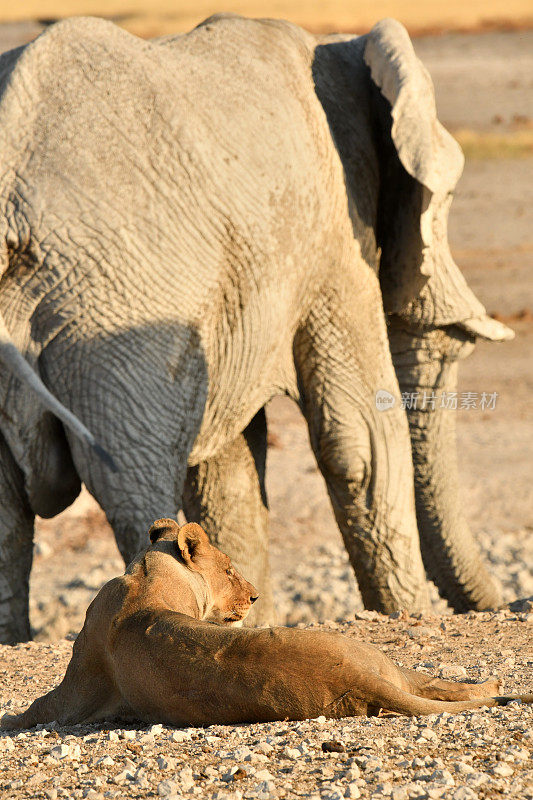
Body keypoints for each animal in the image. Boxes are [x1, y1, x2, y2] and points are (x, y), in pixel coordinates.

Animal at [0, 10, 512, 644]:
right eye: (445, 201)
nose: (506, 605)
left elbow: (229, 476)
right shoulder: (332, 234)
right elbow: (362, 437)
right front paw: (407, 613)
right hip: (115, 319)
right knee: (133, 481)